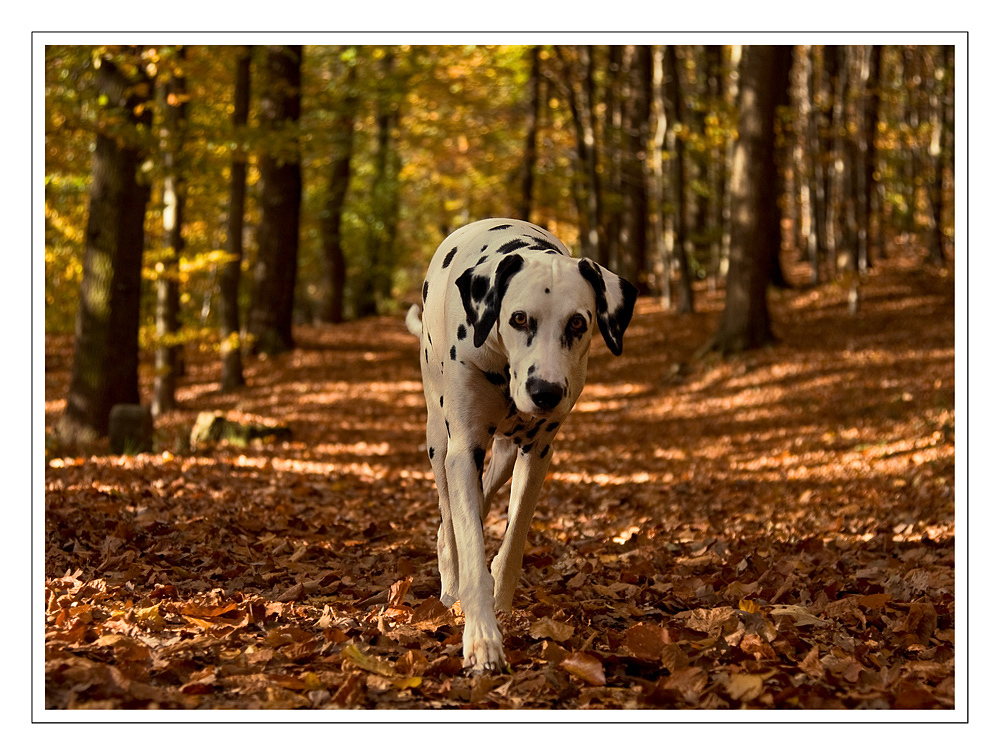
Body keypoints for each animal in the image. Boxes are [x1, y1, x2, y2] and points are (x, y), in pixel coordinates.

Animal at [404, 219, 632, 672]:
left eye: (578, 323)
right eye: (519, 318)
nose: (545, 391)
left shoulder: (538, 452)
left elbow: (512, 541)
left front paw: (501, 606)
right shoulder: (463, 449)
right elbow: (469, 541)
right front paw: (481, 639)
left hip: (507, 453)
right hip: (438, 441)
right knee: (449, 516)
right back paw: (450, 582)